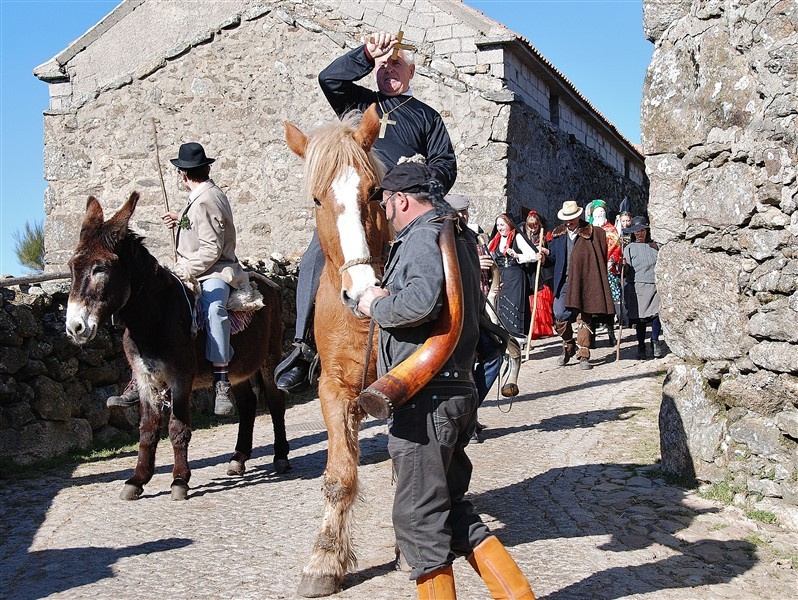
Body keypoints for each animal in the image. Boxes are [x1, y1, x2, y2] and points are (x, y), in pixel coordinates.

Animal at [65, 192, 290, 502]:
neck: (152, 318)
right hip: (240, 368)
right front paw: (137, 480)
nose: (74, 327)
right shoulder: (146, 378)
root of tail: (268, 282)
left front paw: (179, 481)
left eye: (101, 268)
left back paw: (280, 457)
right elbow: (147, 430)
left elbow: (178, 428)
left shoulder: (180, 378)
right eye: (71, 268)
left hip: (269, 358)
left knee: (276, 402)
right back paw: (238, 458)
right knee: (246, 405)